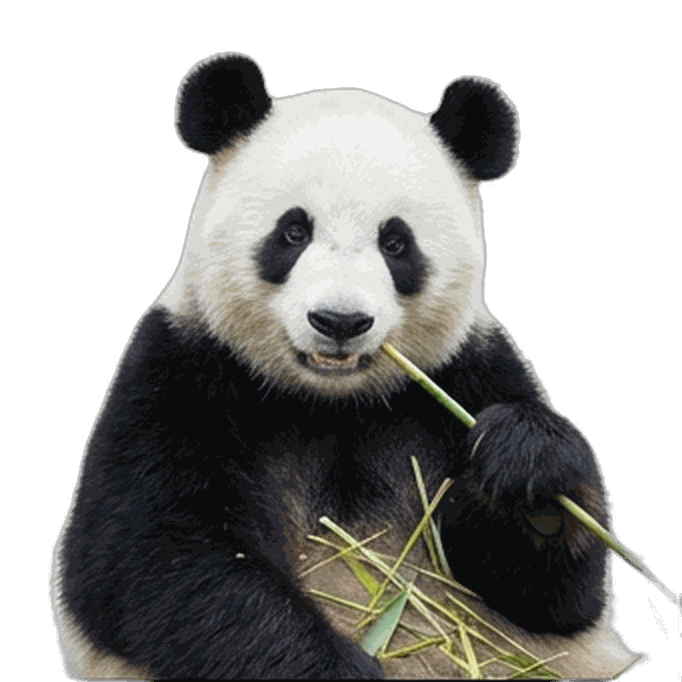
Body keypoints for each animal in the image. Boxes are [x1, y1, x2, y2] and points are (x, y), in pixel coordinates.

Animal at [50, 52, 641, 679]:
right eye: (293, 231)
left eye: (396, 243)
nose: (339, 320)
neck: (332, 402)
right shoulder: (180, 370)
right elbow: (159, 560)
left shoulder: (466, 374)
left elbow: (550, 598)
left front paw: (528, 462)